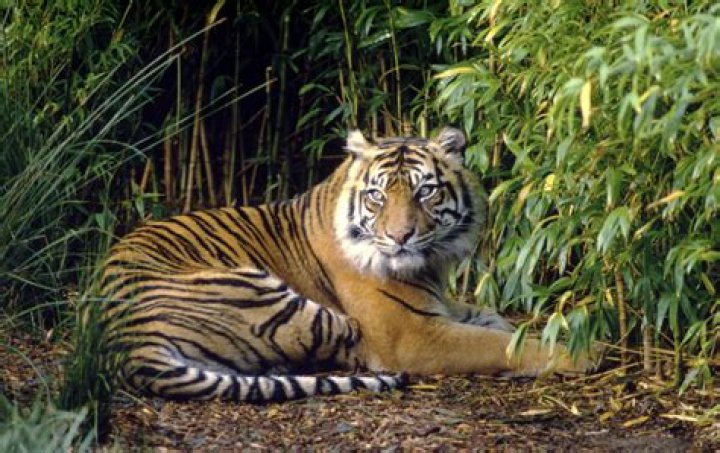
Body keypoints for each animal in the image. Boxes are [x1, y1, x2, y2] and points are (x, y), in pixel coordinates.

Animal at [100, 127, 592, 403]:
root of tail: (125, 344)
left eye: (425, 191)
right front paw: (587, 352)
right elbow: (499, 344)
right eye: (377, 196)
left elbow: (495, 320)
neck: (429, 265)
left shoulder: (443, 305)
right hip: (275, 297)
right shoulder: (413, 333)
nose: (400, 237)